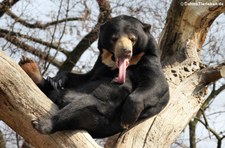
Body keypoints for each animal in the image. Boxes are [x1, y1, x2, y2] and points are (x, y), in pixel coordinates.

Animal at [19, 14, 170, 138]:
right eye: (114, 39)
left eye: (133, 39)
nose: (125, 51)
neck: (115, 62)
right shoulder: (101, 64)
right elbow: (85, 77)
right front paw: (57, 79)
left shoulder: (148, 58)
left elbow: (156, 83)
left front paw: (128, 117)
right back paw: (30, 67)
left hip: (99, 115)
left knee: (78, 108)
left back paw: (40, 123)